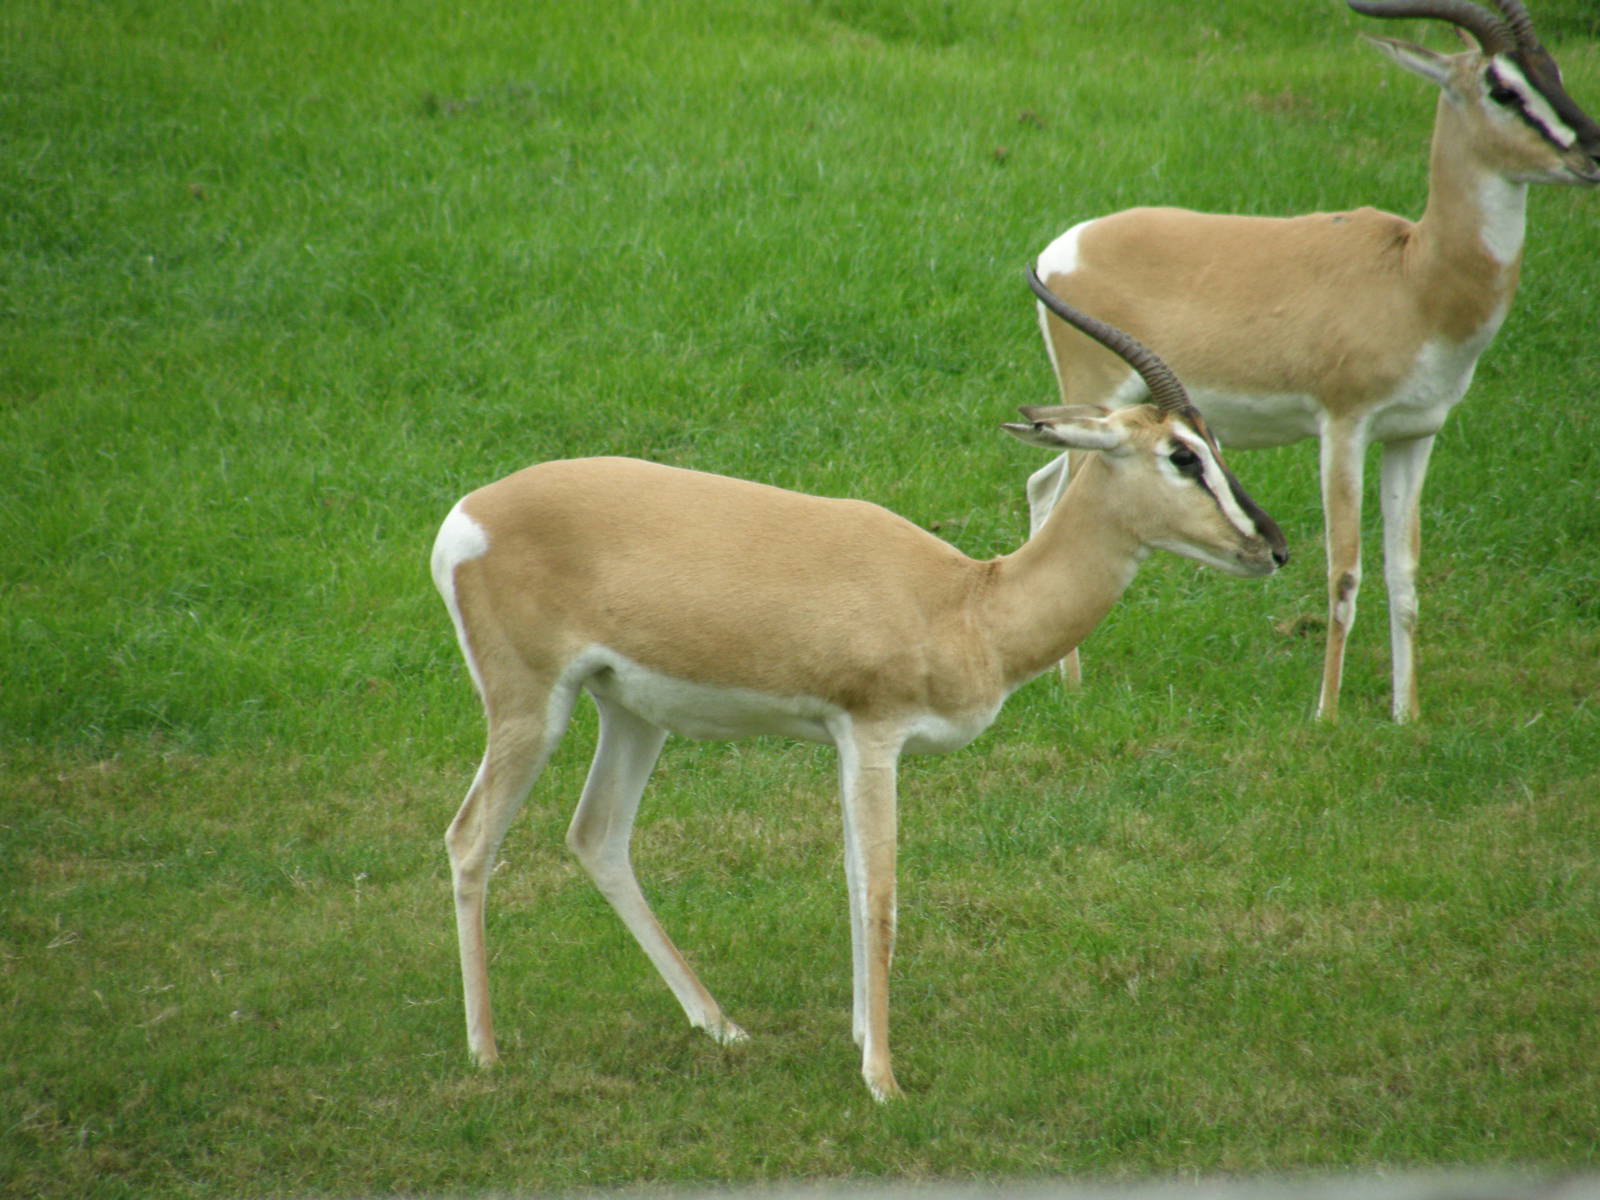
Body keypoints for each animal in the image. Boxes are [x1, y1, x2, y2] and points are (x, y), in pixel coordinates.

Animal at [430, 277, 1287, 1103]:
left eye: (1215, 445)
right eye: (1182, 456)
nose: (1272, 546)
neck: (970, 604)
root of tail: (464, 517)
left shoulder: (846, 742)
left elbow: (849, 881)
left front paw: (856, 1037)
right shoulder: (876, 735)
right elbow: (881, 895)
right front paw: (883, 1080)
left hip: (632, 712)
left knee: (598, 835)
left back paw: (721, 1027)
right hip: (531, 707)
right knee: (471, 838)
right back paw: (485, 1054)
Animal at [1027, 0, 1600, 722]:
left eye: (1553, 69)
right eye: (1503, 87)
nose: (1593, 150)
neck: (1414, 276)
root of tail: (1060, 247)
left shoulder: (1416, 433)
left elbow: (1404, 574)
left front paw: (1406, 717)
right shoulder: (1344, 425)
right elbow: (1344, 569)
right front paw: (1325, 715)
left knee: (1041, 483)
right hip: (1102, 405)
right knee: (1061, 495)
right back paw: (1072, 684)